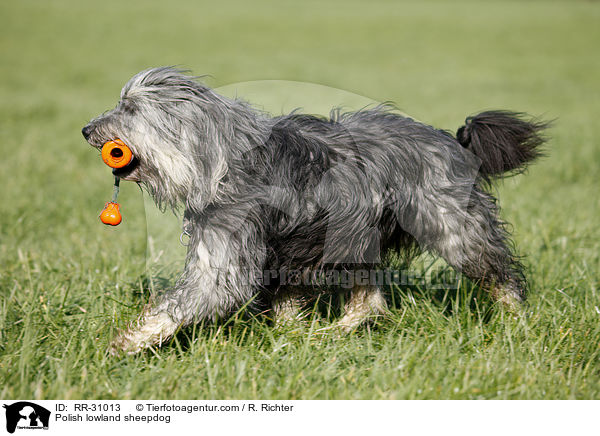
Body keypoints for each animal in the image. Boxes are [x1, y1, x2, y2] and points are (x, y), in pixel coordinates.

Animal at [82, 68, 552, 354]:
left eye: (130, 109)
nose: (87, 129)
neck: (219, 158)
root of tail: (454, 141)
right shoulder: (287, 255)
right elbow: (287, 305)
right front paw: (292, 335)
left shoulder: (226, 255)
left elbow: (183, 303)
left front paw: (122, 344)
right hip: (356, 238)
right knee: (370, 300)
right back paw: (332, 333)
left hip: (453, 227)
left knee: (500, 275)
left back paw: (518, 320)